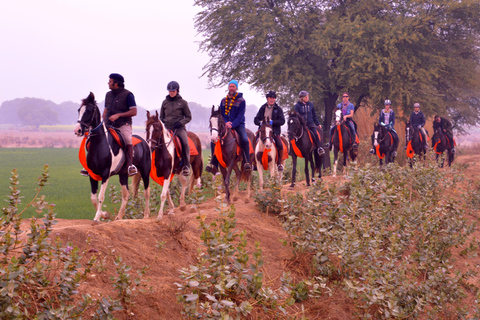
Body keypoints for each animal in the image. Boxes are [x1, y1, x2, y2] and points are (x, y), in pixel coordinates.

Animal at [73, 91, 150, 221]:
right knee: (126, 194)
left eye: (89, 111)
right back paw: (119, 216)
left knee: (146, 192)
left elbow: (100, 196)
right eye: (79, 110)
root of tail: (144, 142)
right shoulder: (92, 174)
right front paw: (104, 214)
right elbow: (93, 198)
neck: (99, 143)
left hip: (145, 171)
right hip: (123, 174)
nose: (77, 130)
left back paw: (145, 216)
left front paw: (97, 217)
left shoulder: (105, 174)